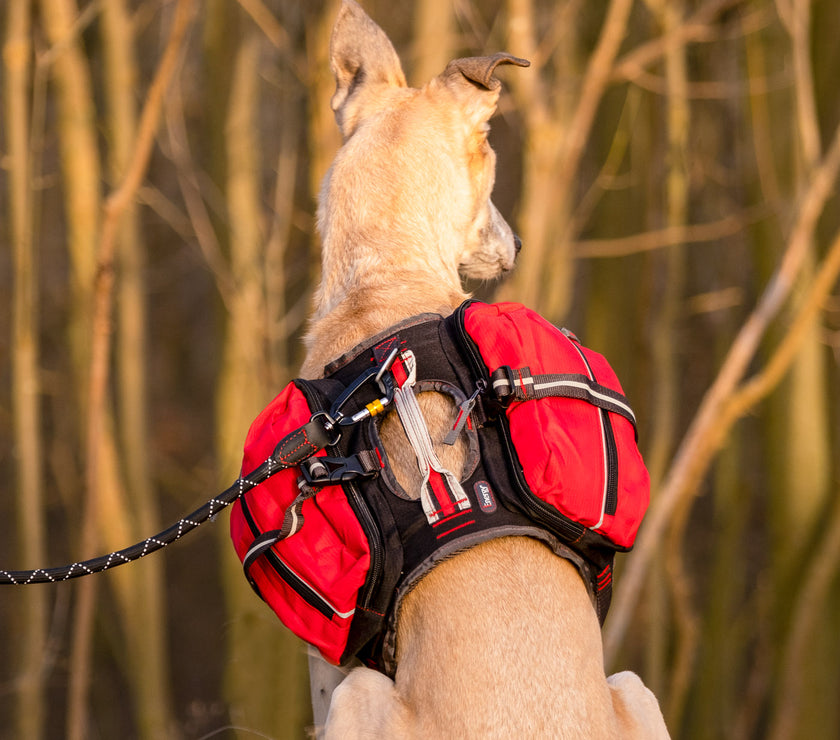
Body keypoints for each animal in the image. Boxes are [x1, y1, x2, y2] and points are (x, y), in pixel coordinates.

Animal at [302, 2, 668, 736]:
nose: (520, 242)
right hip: (638, 690)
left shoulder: (330, 666)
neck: (385, 274)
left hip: (362, 694)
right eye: (493, 161)